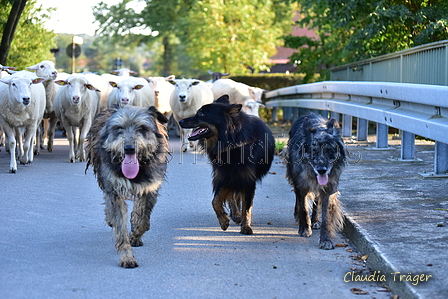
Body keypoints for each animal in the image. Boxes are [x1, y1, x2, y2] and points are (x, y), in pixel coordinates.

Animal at [86, 106, 168, 270]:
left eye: (142, 128)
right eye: (119, 128)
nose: (129, 148)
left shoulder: (150, 188)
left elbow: (143, 220)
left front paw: (135, 235)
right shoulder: (114, 189)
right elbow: (120, 227)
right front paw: (126, 257)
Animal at [178, 95, 272, 236]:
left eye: (201, 114)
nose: (180, 121)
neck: (232, 142)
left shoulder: (247, 180)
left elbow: (246, 206)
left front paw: (246, 226)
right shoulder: (223, 176)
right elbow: (215, 201)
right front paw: (224, 220)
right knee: (233, 197)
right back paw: (235, 214)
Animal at [288, 113, 346, 250]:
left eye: (330, 151)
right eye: (314, 151)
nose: (321, 170)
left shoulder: (327, 191)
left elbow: (325, 217)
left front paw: (325, 239)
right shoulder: (301, 186)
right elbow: (303, 207)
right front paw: (304, 228)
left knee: (315, 202)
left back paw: (314, 221)